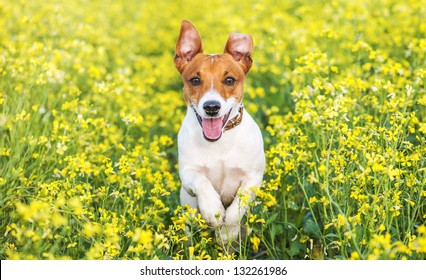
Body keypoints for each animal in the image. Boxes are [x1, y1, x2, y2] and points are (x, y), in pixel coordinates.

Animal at [175, 20, 264, 246]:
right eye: (195, 80)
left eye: (230, 80)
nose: (212, 107)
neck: (219, 142)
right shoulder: (187, 175)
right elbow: (202, 182)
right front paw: (213, 211)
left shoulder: (253, 178)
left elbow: (236, 210)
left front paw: (226, 233)